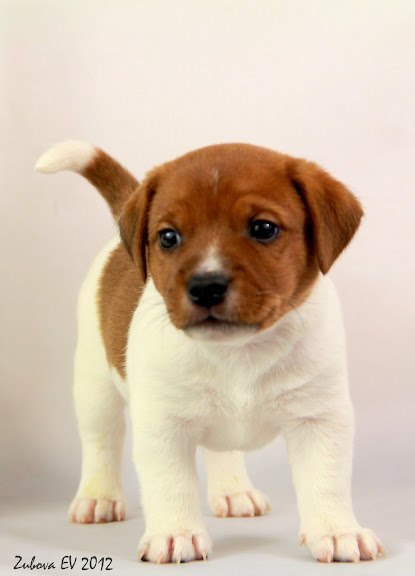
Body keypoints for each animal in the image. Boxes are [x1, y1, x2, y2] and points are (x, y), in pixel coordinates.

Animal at [35, 141, 383, 564]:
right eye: (168, 237)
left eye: (263, 229)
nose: (206, 287)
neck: (239, 353)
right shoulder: (163, 427)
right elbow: (171, 484)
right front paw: (175, 533)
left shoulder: (320, 420)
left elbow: (326, 480)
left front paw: (337, 531)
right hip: (94, 387)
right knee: (101, 441)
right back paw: (98, 496)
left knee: (223, 450)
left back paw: (234, 490)